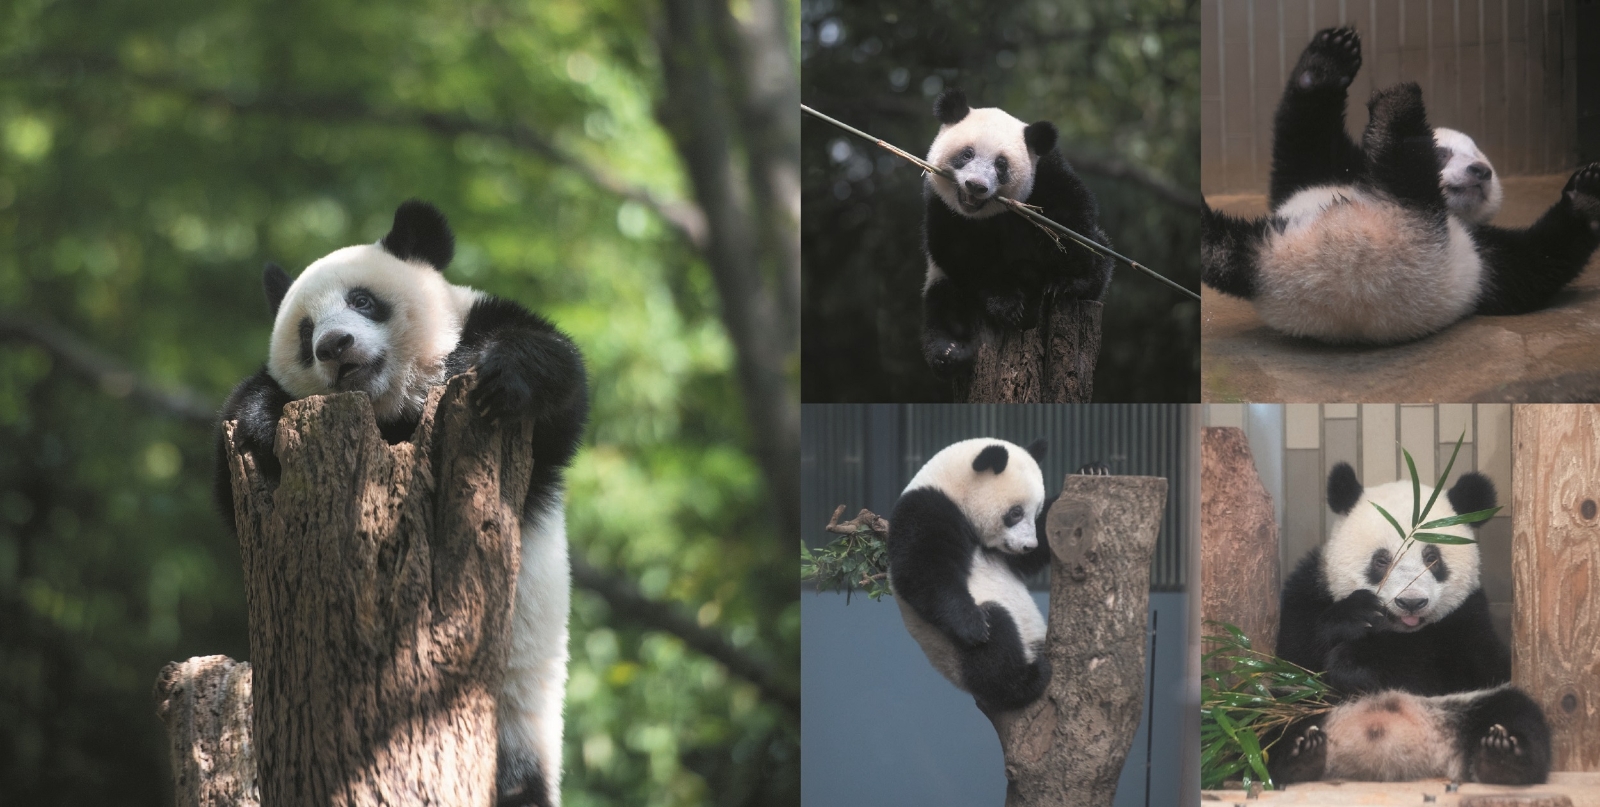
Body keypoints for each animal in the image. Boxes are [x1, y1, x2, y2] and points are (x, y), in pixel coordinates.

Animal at [212, 200, 588, 807]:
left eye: (363, 300)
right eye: (305, 331)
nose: (334, 346)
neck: (393, 411)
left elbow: (560, 377)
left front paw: (494, 371)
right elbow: (234, 476)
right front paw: (260, 416)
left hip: (519, 716)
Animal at [921, 92, 1120, 377]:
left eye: (1000, 165)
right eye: (967, 154)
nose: (975, 186)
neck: (984, 213)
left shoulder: (1047, 174)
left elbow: (1070, 220)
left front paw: (1066, 281)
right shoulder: (940, 204)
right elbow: (957, 251)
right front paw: (1005, 301)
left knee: (1101, 255)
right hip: (942, 283)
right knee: (944, 304)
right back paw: (949, 351)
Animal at [1203, 26, 1600, 344]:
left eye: (1484, 162)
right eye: (1445, 153)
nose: (1480, 172)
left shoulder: (1479, 254)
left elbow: (1534, 265)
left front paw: (1586, 196)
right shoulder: (1327, 175)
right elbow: (1305, 144)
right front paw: (1327, 61)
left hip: (1419, 235)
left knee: (1405, 162)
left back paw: (1396, 110)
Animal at [1267, 464, 1542, 784]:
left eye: (1432, 558)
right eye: (1382, 560)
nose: (1411, 602)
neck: (1398, 630)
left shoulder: (1469, 620)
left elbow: (1444, 666)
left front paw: (1356, 660)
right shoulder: (1308, 592)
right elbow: (1293, 657)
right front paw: (1356, 615)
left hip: (1476, 701)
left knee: (1515, 712)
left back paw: (1503, 756)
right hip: (1297, 705)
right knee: (1263, 716)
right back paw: (1300, 753)